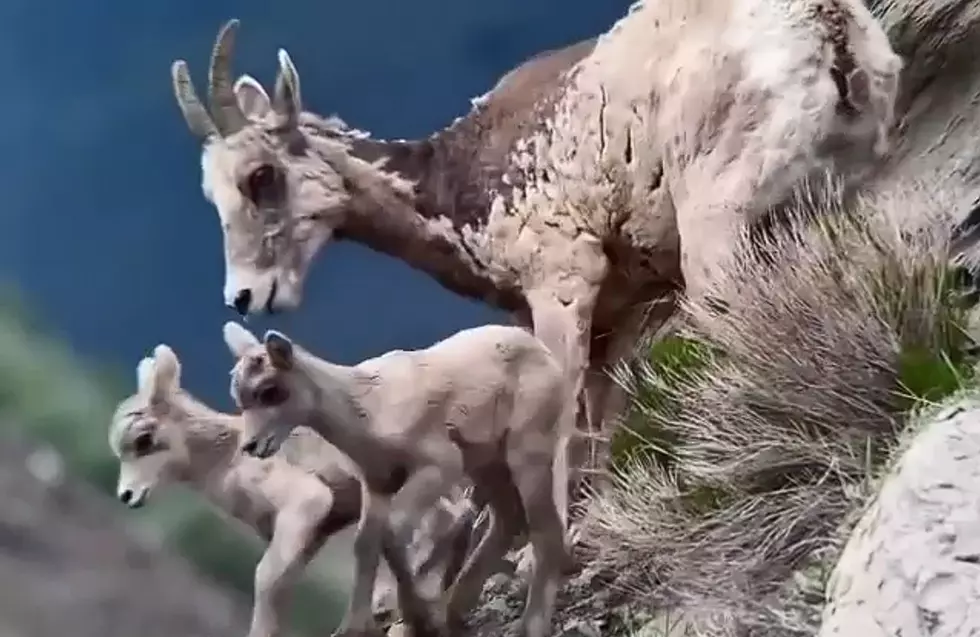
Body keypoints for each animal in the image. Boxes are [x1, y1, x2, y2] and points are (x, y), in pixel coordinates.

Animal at [109, 342, 462, 636]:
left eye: (144, 439)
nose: (127, 496)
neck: (228, 457)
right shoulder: (306, 535)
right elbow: (283, 586)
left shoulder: (305, 502)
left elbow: (265, 579)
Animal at [170, 0, 904, 492]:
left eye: (261, 176)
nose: (245, 295)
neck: (457, 184)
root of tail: (825, 29)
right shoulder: (613, 321)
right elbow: (597, 430)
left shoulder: (562, 285)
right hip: (850, 187)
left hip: (717, 225)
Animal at [222, 320, 576, 636]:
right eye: (239, 395)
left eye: (270, 391)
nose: (252, 446)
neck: (367, 410)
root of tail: (544, 354)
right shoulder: (377, 483)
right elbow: (367, 544)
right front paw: (354, 628)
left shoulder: (439, 466)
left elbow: (394, 531)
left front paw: (418, 619)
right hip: (488, 463)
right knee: (508, 521)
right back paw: (452, 614)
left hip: (527, 452)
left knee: (545, 529)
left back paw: (530, 626)